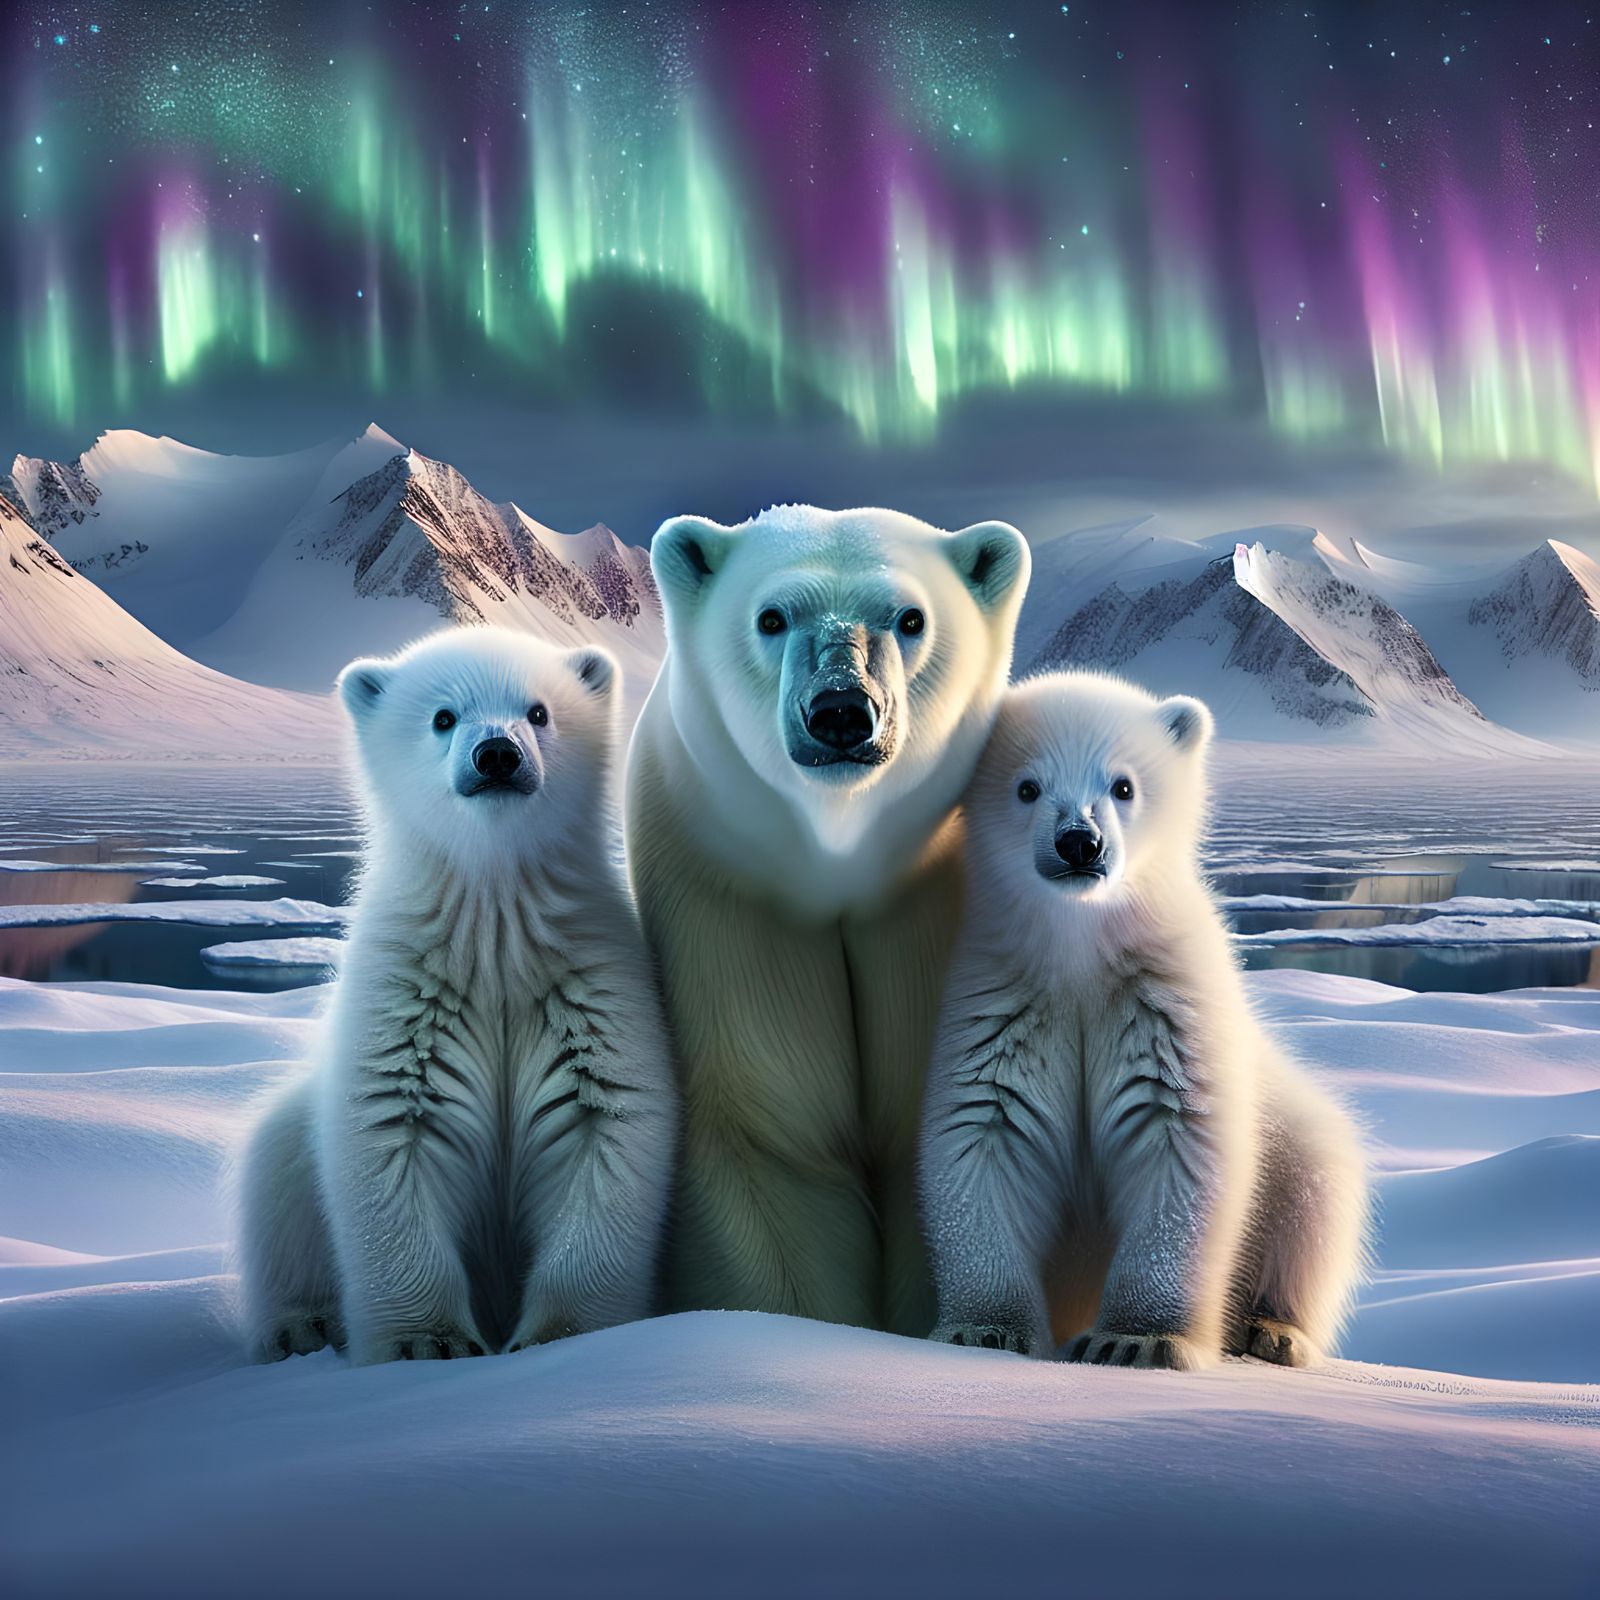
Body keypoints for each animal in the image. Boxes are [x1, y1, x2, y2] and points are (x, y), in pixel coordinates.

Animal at [235, 626, 678, 1364]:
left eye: (538, 711)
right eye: (443, 717)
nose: (496, 754)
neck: (494, 931)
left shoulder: (590, 988)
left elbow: (607, 1128)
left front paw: (561, 1337)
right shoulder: (405, 996)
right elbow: (388, 1133)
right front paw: (428, 1342)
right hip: (288, 1156)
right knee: (277, 1173)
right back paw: (302, 1325)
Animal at [624, 504, 1030, 1335]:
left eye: (910, 617)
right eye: (771, 617)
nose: (842, 711)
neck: (839, 852)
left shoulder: (931, 909)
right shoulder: (729, 895)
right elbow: (775, 1137)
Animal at [919, 671, 1370, 1369]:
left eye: (1123, 785)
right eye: (1027, 786)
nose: (1079, 842)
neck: (1080, 949)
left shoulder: (1165, 1007)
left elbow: (1179, 1141)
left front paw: (1136, 1341)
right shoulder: (1002, 1006)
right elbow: (982, 1135)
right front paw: (982, 1330)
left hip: (1296, 1134)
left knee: (1315, 1194)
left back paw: (1272, 1330)